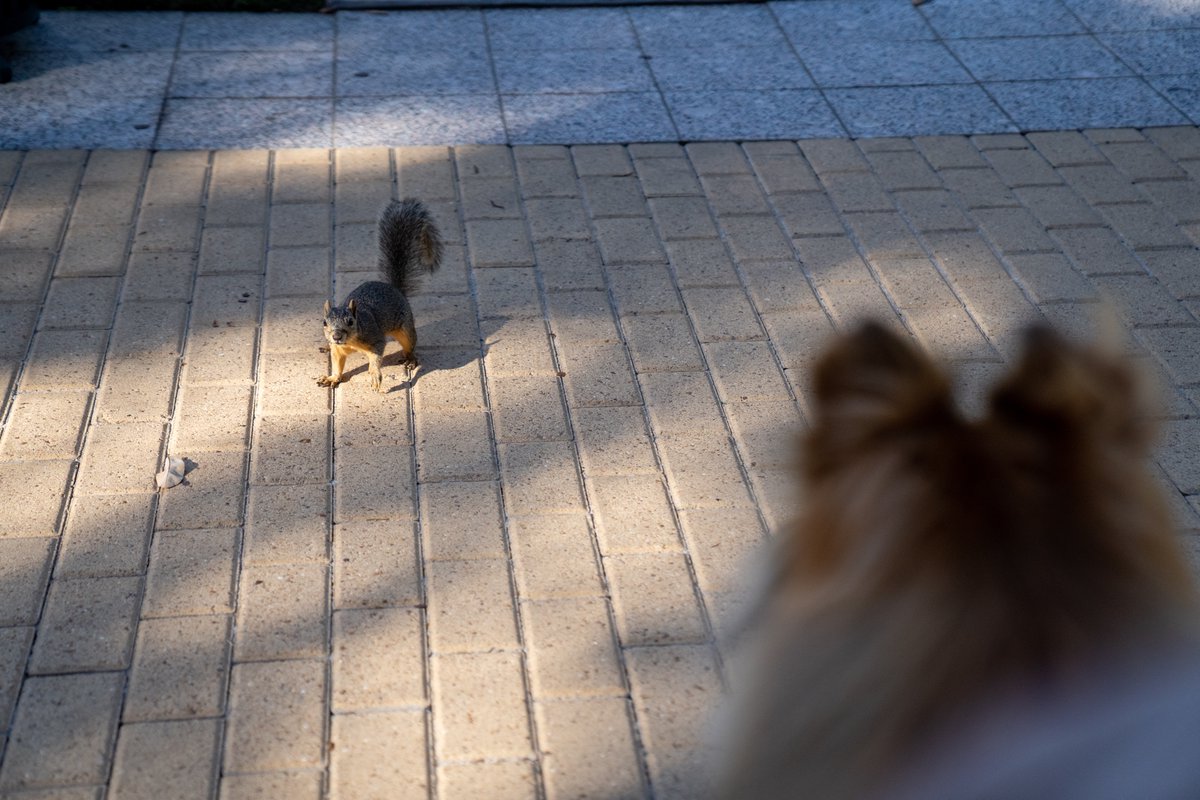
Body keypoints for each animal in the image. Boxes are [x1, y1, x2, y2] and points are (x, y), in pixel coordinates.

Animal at [317, 198, 442, 393]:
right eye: (324, 322)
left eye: (350, 322)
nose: (336, 336)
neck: (350, 342)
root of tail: (394, 288)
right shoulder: (338, 350)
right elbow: (337, 365)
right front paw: (332, 378)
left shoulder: (375, 340)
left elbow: (376, 360)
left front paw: (375, 376)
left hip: (405, 328)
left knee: (410, 344)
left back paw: (410, 359)